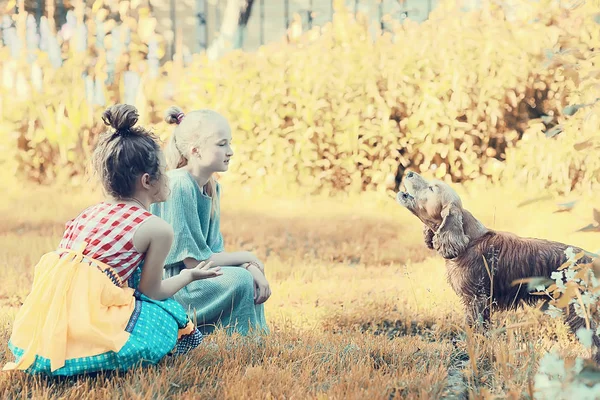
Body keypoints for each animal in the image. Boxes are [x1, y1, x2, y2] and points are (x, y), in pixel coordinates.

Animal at [396, 172, 596, 356]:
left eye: (432, 188)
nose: (409, 173)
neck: (468, 243)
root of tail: (591, 260)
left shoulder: (476, 300)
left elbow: (475, 329)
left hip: (578, 310)